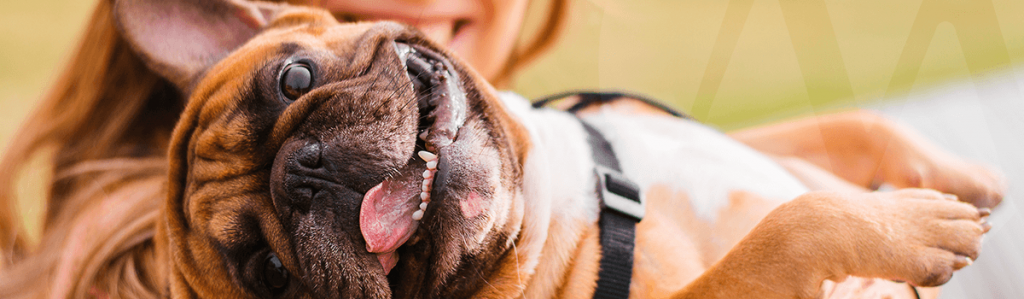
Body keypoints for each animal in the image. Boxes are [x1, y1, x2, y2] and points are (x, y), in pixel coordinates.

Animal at [110, 0, 999, 296]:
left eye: (294, 78)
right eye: (270, 272)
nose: (305, 171)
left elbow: (853, 127)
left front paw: (963, 178)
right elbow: (787, 230)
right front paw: (916, 227)